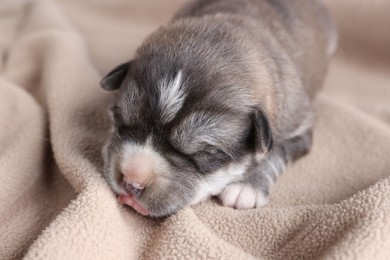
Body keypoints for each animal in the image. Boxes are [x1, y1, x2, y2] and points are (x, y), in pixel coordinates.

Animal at [99, 0, 336, 217]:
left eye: (204, 154)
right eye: (121, 123)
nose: (132, 182)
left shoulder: (300, 127)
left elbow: (276, 153)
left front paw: (246, 187)